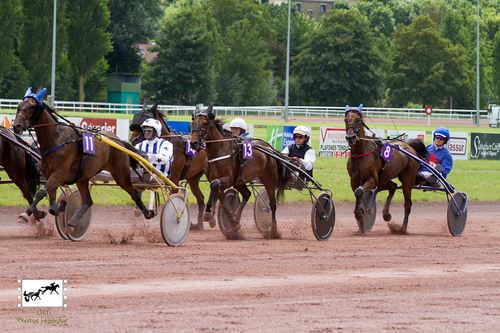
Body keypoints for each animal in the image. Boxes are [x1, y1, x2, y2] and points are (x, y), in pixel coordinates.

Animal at [13, 88, 154, 233]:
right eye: (19, 106)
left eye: (32, 106)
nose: (16, 125)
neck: (56, 140)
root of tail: (119, 141)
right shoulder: (50, 175)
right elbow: (52, 207)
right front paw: (60, 208)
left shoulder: (59, 174)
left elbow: (41, 193)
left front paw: (25, 214)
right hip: (82, 177)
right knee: (88, 201)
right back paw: (73, 221)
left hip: (121, 175)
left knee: (134, 193)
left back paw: (148, 212)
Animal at [129, 99, 209, 228]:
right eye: (136, 117)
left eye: (145, 122)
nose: (133, 139)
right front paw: (138, 209)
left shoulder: (174, 179)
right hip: (193, 178)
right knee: (200, 198)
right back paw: (199, 223)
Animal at [188, 102, 292, 237]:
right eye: (193, 123)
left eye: (205, 123)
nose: (193, 143)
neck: (219, 152)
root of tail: (269, 149)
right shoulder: (224, 181)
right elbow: (224, 203)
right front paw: (233, 226)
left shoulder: (227, 179)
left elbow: (214, 185)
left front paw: (208, 214)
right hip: (239, 182)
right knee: (247, 194)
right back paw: (237, 218)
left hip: (269, 180)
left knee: (272, 204)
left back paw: (273, 231)